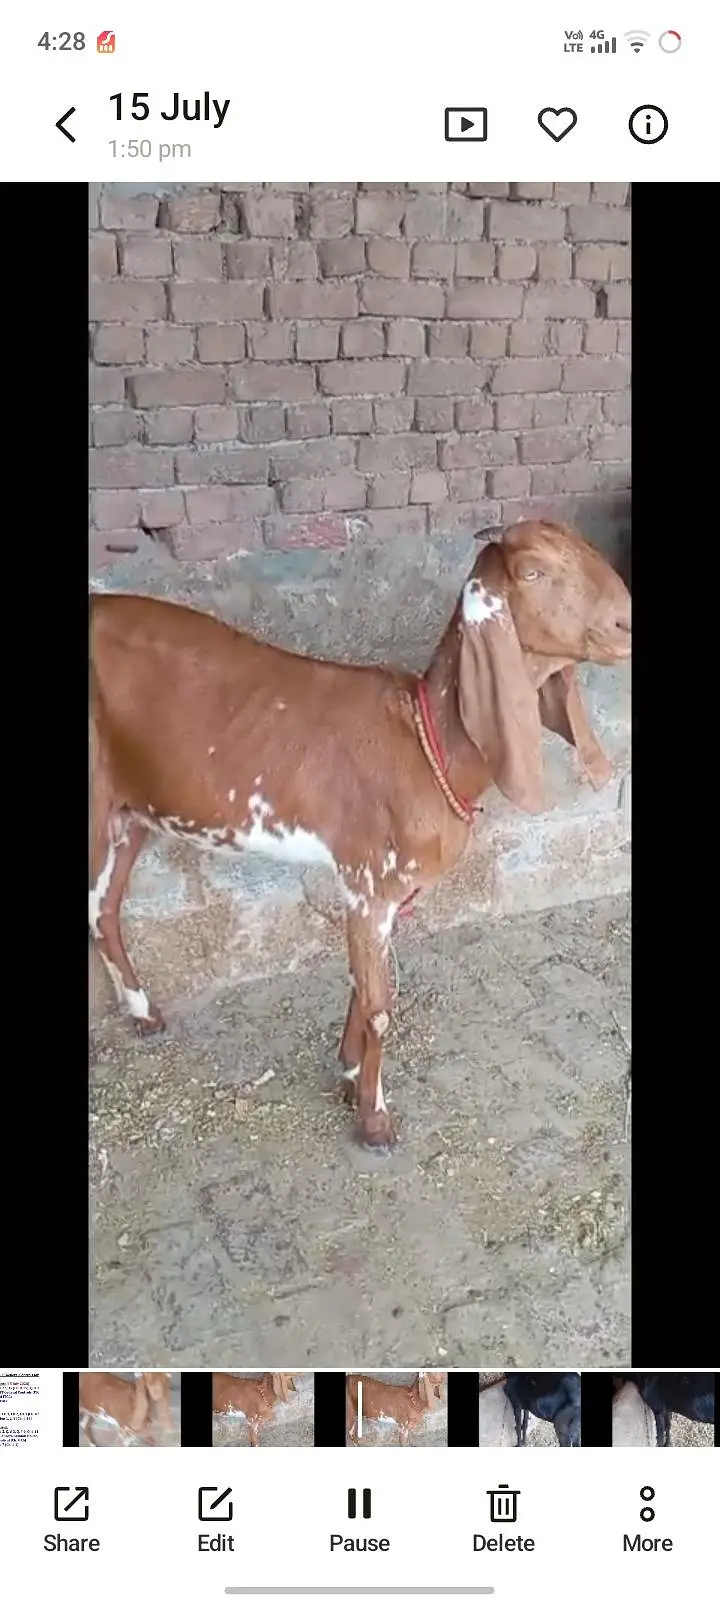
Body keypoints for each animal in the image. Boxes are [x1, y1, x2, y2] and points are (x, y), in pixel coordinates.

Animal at [90, 519, 631, 1152]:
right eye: (533, 571)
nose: (626, 623)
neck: (425, 739)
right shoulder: (370, 883)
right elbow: (379, 1007)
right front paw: (374, 1120)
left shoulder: (379, 894)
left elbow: (359, 986)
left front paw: (349, 1075)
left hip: (129, 810)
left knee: (105, 908)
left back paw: (143, 1012)